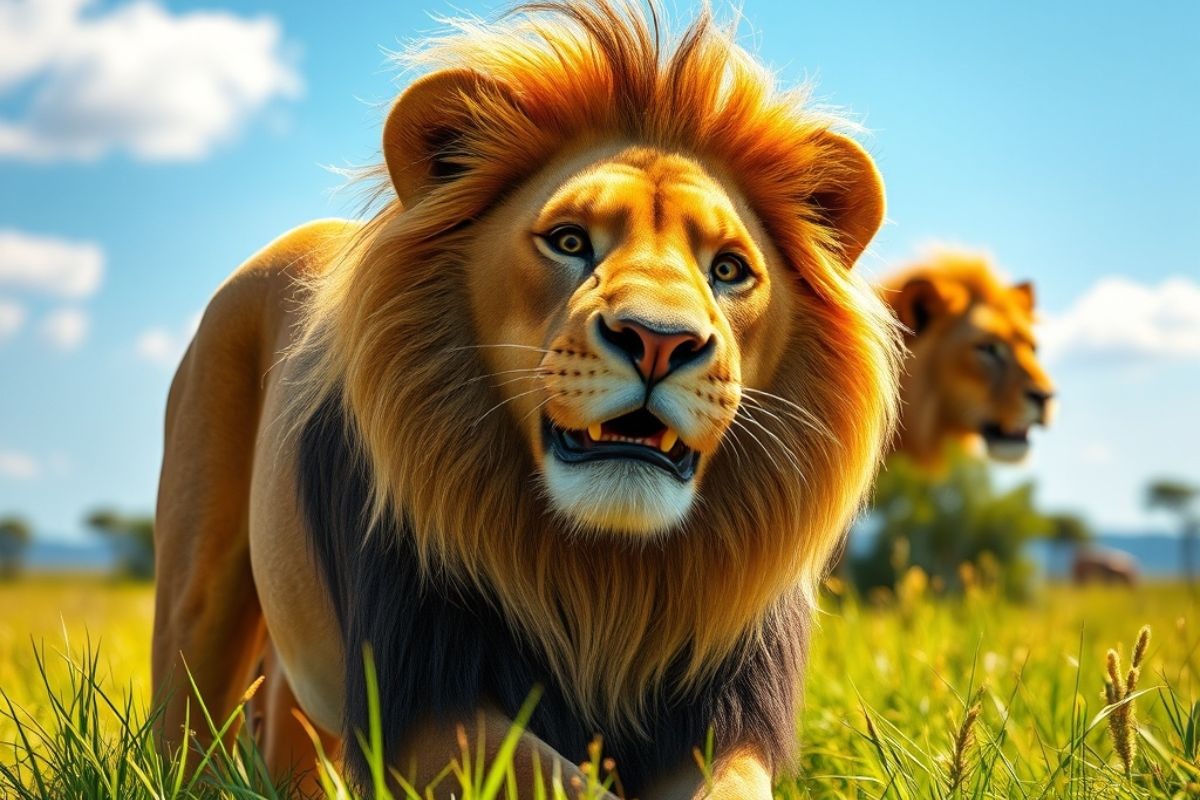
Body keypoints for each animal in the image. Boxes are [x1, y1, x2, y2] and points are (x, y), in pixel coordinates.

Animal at [152, 3, 902, 797]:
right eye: (569, 241)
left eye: (728, 269)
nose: (658, 341)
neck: (609, 574)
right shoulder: (421, 705)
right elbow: (566, 782)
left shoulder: (723, 719)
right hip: (199, 590)